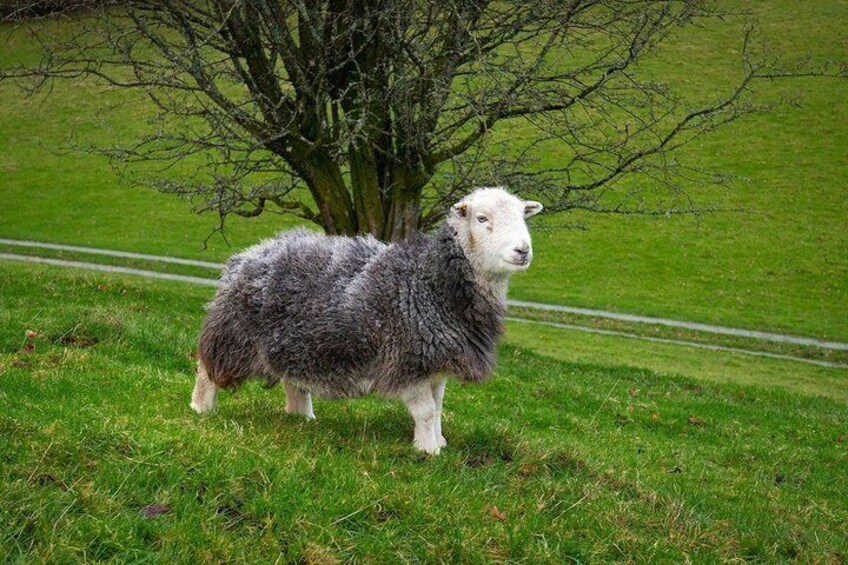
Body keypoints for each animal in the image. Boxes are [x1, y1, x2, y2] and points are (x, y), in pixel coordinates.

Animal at [190, 187, 542, 454]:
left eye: (522, 218)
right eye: (482, 219)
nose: (523, 250)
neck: (431, 281)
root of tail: (251, 253)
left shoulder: (437, 358)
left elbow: (439, 405)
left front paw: (439, 441)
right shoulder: (407, 360)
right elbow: (427, 410)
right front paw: (428, 451)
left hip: (294, 341)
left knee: (293, 381)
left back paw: (302, 417)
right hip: (233, 333)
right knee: (206, 369)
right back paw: (200, 408)